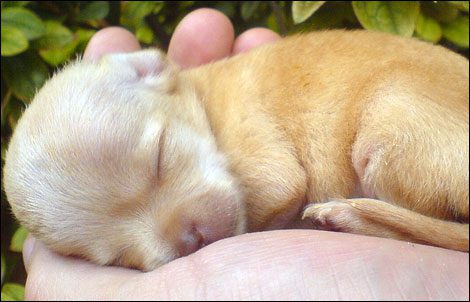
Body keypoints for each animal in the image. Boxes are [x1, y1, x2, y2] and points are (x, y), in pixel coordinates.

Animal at [3, 30, 470, 272]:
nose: (189, 240)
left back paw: (349, 217)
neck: (202, 103)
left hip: (386, 133)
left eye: (160, 156)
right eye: (117, 257)